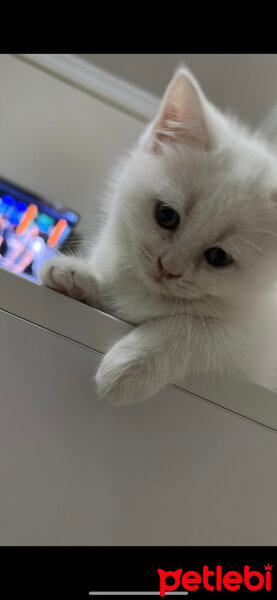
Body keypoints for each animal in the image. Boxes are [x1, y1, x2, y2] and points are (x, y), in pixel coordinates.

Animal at [39, 65, 277, 406]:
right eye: (166, 215)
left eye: (219, 257)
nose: (167, 267)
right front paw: (78, 276)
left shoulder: (255, 351)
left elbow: (199, 329)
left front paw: (131, 365)